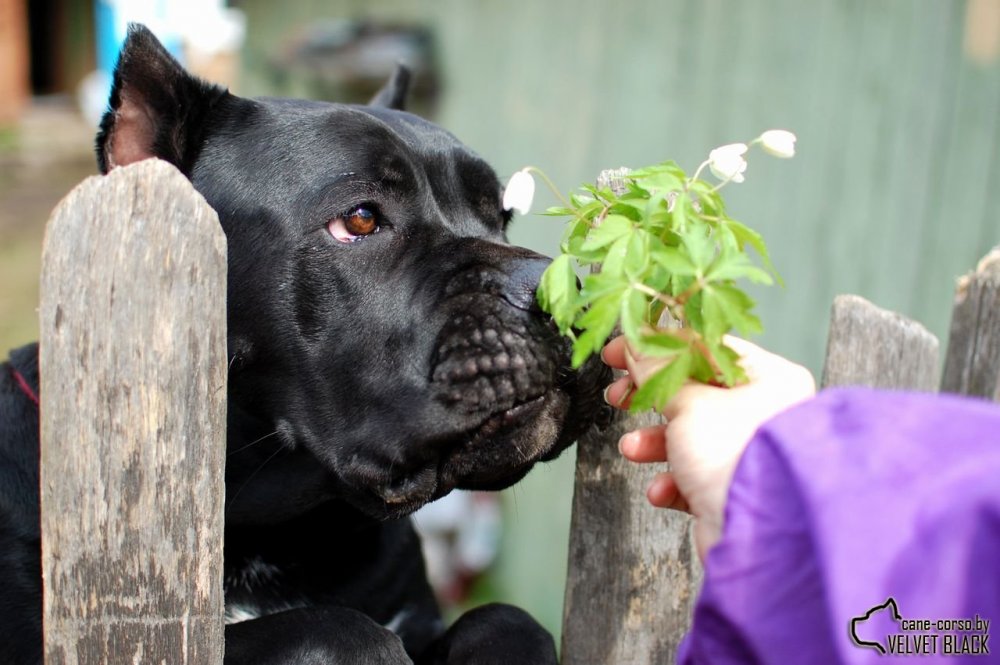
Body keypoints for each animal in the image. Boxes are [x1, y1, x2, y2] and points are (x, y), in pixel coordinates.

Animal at [0, 23, 608, 660]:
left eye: (500, 218)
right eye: (360, 219)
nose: (567, 292)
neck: (276, 535)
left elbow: (508, 617)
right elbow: (335, 629)